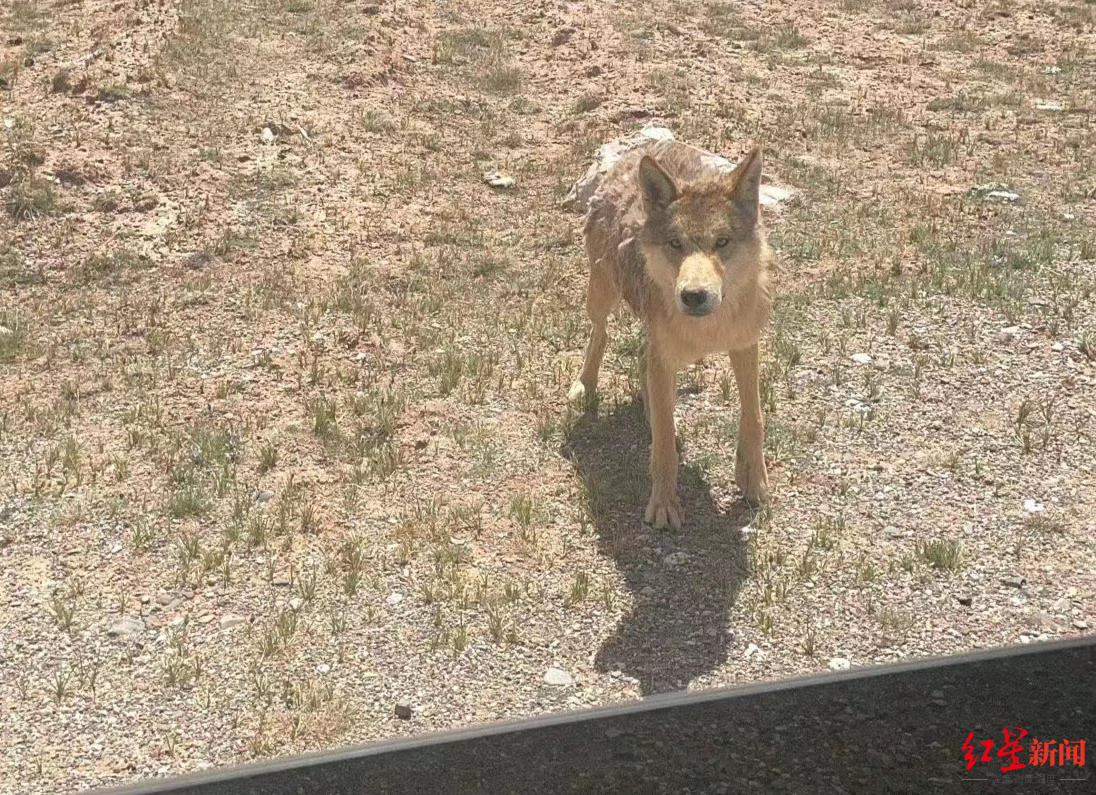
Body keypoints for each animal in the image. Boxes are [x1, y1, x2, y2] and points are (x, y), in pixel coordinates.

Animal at [569, 139, 775, 530]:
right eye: (675, 244)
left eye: (722, 242)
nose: (693, 295)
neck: (709, 331)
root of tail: (643, 148)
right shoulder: (665, 358)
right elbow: (664, 447)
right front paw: (664, 505)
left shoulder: (745, 344)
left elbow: (753, 417)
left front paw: (753, 480)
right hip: (601, 297)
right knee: (600, 335)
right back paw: (585, 386)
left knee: (641, 361)